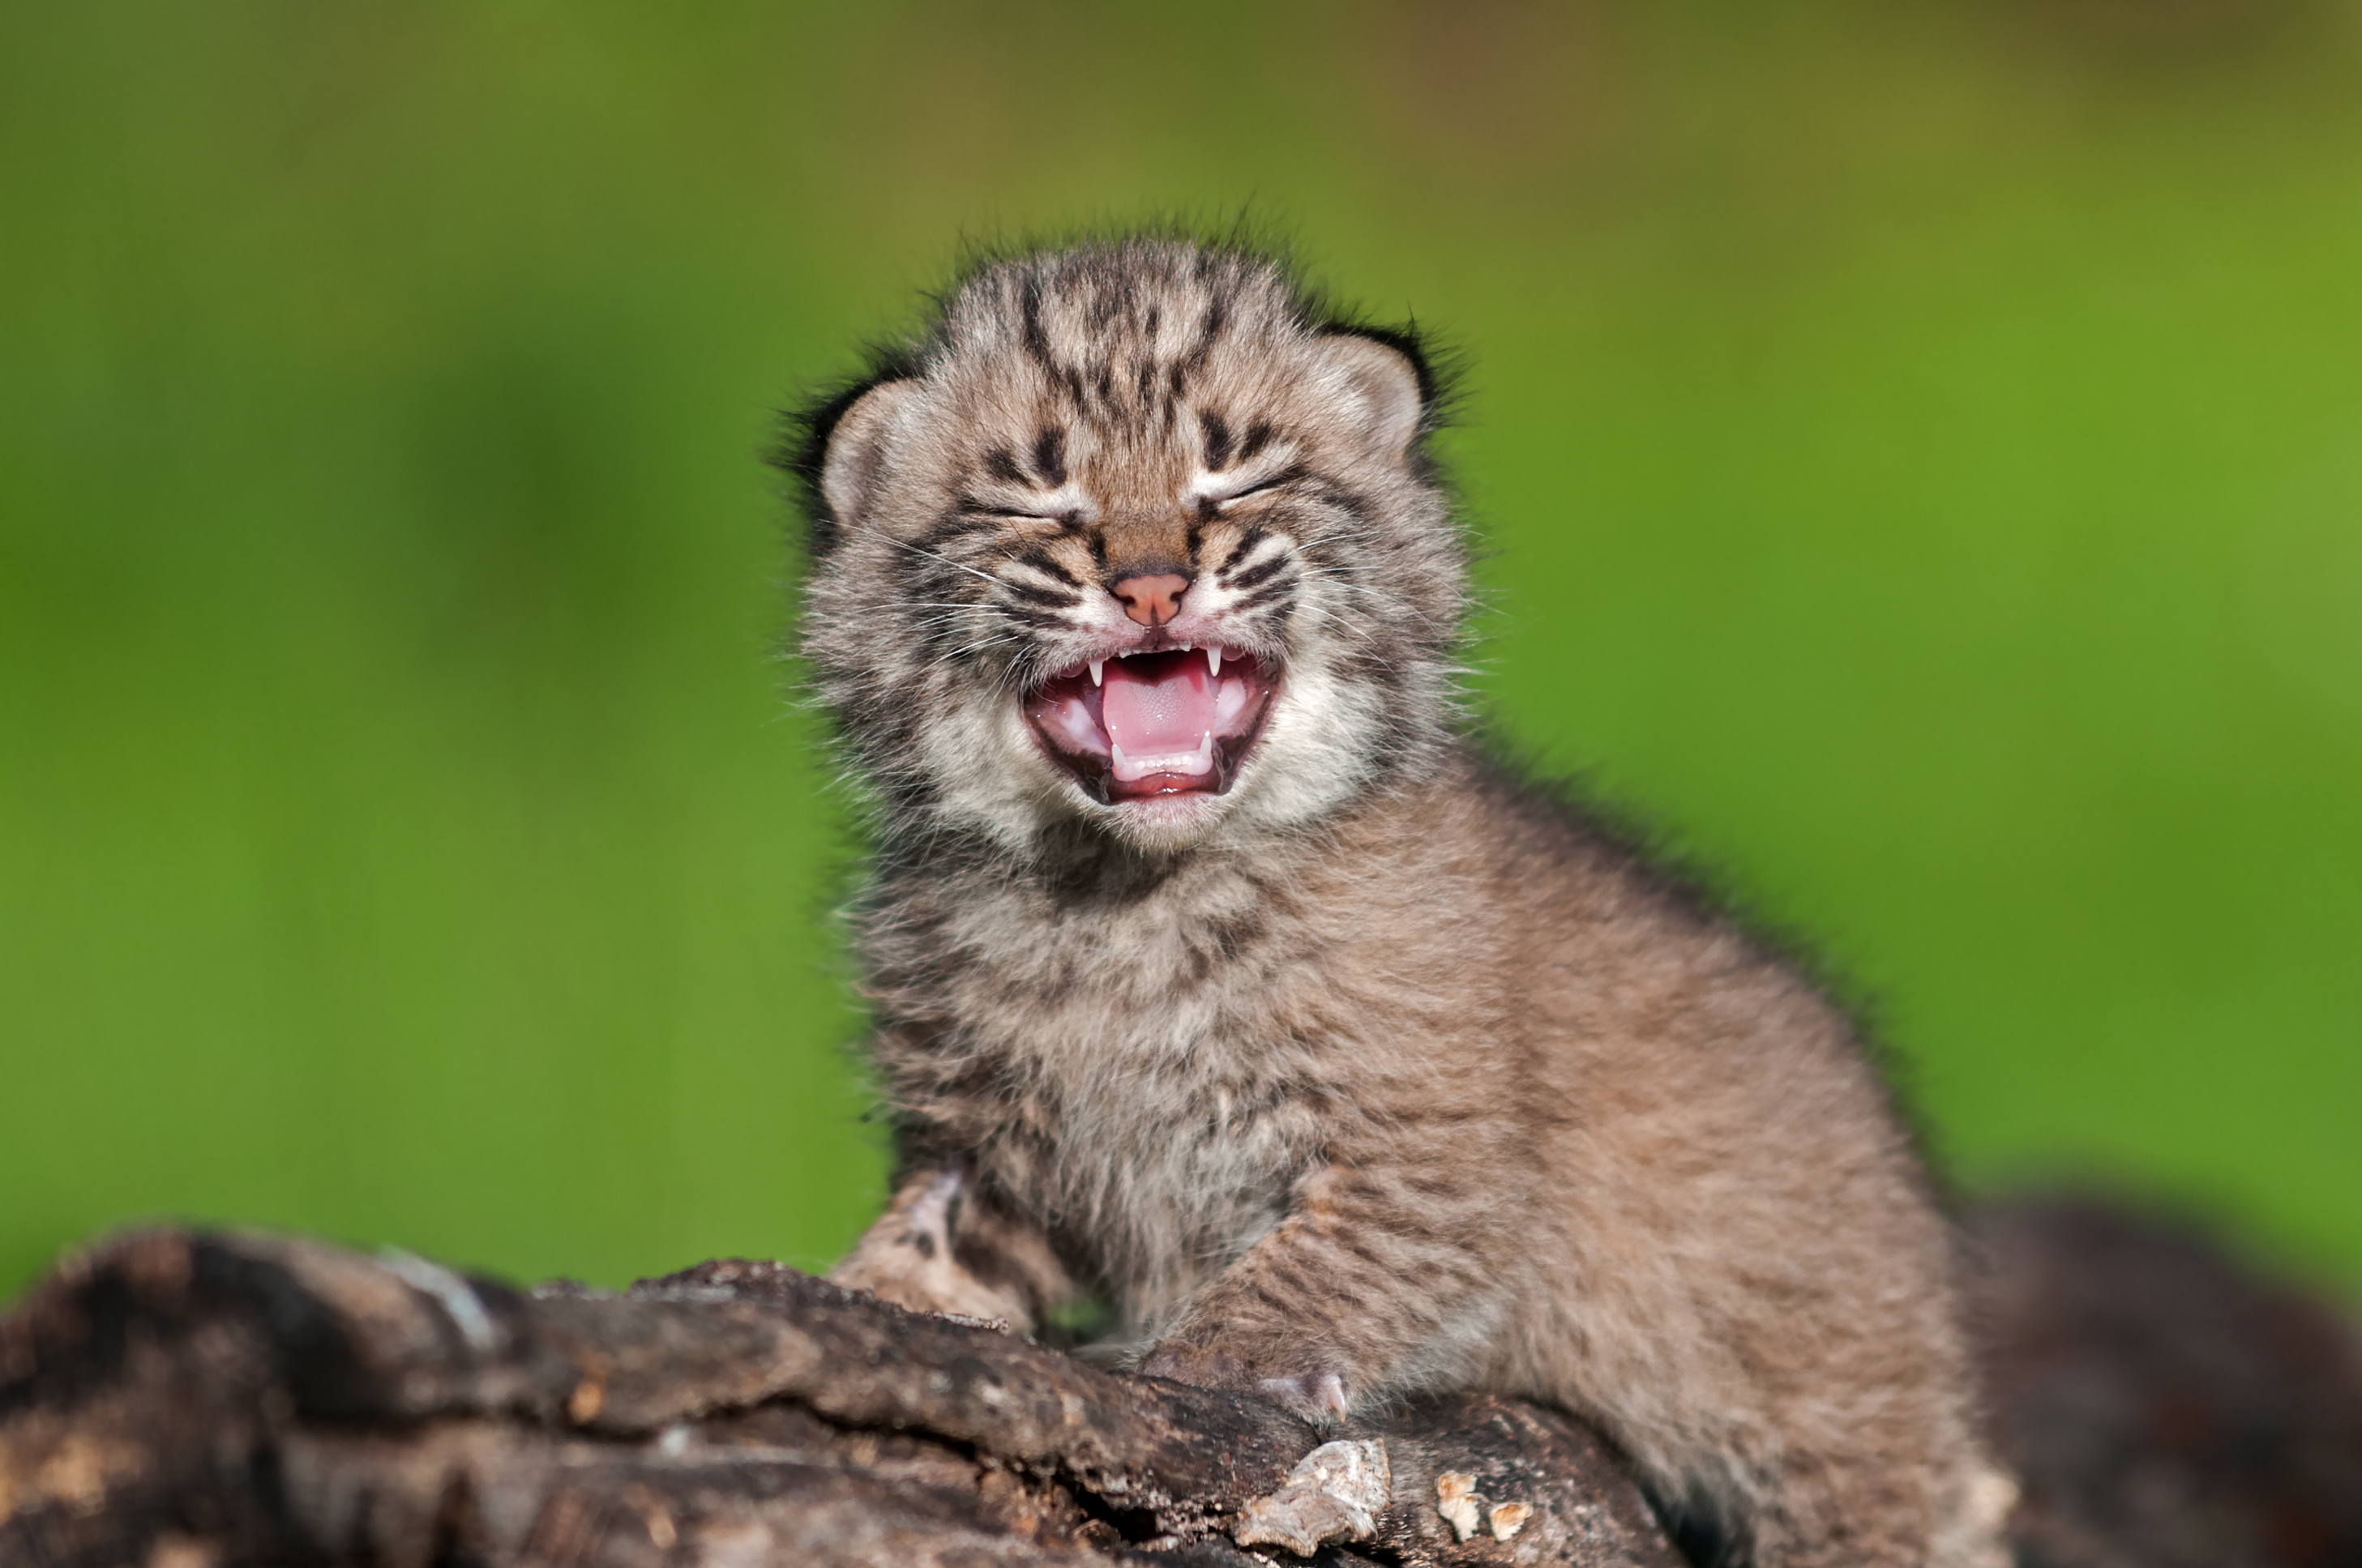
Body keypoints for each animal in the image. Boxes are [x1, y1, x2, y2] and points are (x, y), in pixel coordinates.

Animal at [794, 236, 2012, 1568]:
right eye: (1033, 497)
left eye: (1238, 476)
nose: (1153, 586)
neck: (1115, 898)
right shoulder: (975, 1128)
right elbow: (927, 1234)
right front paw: (852, 1295)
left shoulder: (1430, 1154)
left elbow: (1303, 1280)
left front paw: (1186, 1366)